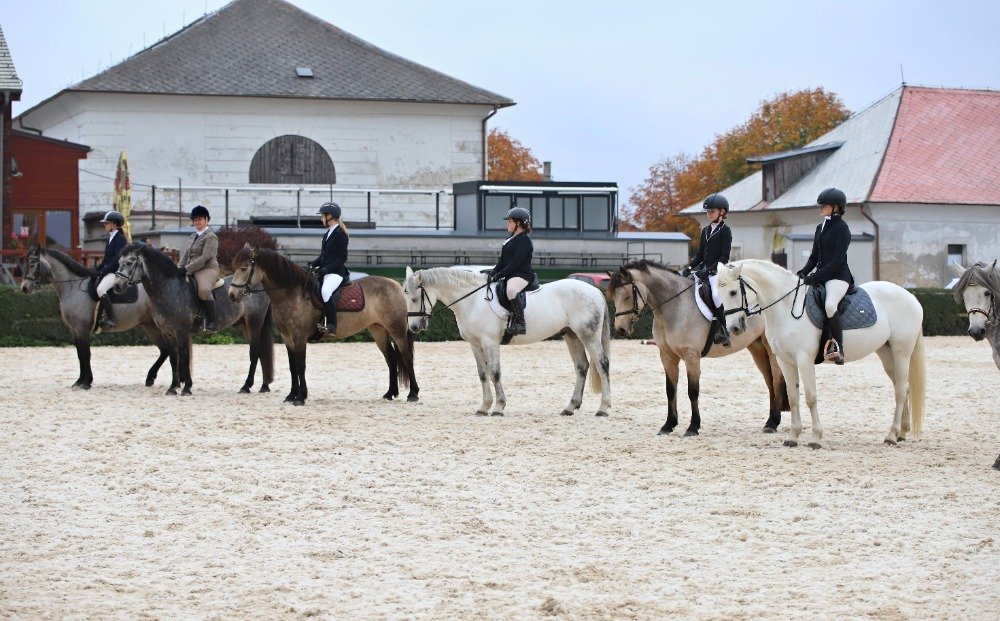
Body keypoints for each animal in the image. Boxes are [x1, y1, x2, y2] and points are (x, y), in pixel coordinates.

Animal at [112, 240, 276, 394]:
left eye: (129, 262)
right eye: (119, 262)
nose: (117, 287)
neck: (169, 289)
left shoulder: (181, 331)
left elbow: (184, 357)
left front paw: (186, 387)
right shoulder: (168, 332)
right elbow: (173, 358)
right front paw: (173, 388)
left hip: (254, 322)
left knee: (255, 352)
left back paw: (246, 386)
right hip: (244, 325)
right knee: (261, 352)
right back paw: (264, 386)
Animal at [228, 247, 418, 406]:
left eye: (244, 269)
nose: (231, 295)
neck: (292, 294)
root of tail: (396, 285)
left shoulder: (299, 337)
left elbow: (301, 366)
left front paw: (300, 397)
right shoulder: (287, 338)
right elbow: (292, 366)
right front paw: (291, 395)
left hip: (397, 330)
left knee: (406, 357)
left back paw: (413, 394)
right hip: (378, 330)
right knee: (391, 358)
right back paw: (390, 393)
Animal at [404, 266, 608, 416]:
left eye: (414, 298)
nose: (413, 327)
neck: (473, 301)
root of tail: (596, 291)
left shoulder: (490, 342)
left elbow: (495, 373)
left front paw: (499, 407)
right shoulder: (475, 344)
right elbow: (483, 374)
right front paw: (484, 407)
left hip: (588, 336)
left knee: (602, 364)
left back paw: (603, 408)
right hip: (571, 335)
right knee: (581, 367)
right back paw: (570, 407)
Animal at [604, 260, 784, 436]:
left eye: (627, 296)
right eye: (614, 298)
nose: (620, 329)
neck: (675, 307)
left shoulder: (691, 355)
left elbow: (693, 391)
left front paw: (693, 427)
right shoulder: (667, 356)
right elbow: (670, 389)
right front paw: (668, 425)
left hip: (770, 348)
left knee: (777, 379)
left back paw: (772, 423)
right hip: (756, 347)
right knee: (769, 381)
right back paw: (770, 421)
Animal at [716, 260, 924, 448]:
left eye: (733, 292)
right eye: (719, 294)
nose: (734, 328)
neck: (785, 307)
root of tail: (910, 296)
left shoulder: (804, 359)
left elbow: (810, 397)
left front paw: (816, 438)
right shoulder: (785, 361)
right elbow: (793, 397)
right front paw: (793, 437)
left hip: (901, 352)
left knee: (900, 390)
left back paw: (891, 436)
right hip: (886, 353)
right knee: (902, 387)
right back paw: (902, 433)